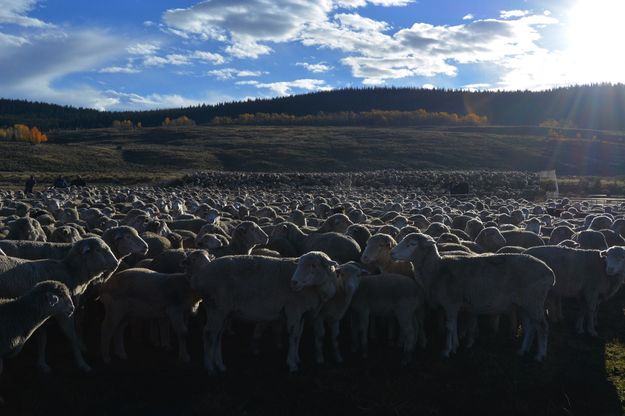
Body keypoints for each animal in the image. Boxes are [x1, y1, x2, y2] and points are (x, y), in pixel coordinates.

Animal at [0, 239, 119, 372]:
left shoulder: (43, 315)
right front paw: (82, 363)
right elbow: (72, 337)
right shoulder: (63, 313)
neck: (71, 272)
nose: (116, 263)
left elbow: (42, 340)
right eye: (98, 250)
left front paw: (42, 363)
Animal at [191, 250, 338, 374]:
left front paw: (296, 358)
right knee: (209, 334)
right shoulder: (293, 309)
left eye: (314, 265)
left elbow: (299, 334)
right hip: (216, 308)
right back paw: (210, 367)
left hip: (223, 311)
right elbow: (294, 335)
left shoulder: (301, 312)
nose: (294, 282)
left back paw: (220, 365)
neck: (314, 289)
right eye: (300, 264)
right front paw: (292, 364)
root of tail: (200, 277)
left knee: (218, 335)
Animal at [392, 234, 552, 360]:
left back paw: (540, 355)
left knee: (542, 326)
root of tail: (549, 272)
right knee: (530, 326)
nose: (392, 252)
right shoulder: (456, 305)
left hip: (533, 301)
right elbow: (455, 325)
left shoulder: (450, 303)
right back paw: (522, 350)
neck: (438, 269)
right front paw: (455, 346)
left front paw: (446, 351)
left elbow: (450, 327)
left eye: (412, 244)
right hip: (523, 304)